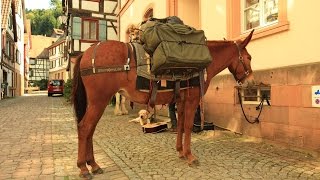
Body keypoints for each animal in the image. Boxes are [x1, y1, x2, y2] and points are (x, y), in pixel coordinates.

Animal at [72, 30, 255, 178]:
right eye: (249, 58)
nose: (251, 82)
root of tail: (87, 53)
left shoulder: (181, 101)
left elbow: (180, 125)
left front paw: (180, 152)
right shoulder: (192, 100)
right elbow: (187, 126)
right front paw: (190, 156)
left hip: (95, 103)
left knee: (90, 130)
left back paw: (93, 165)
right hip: (99, 101)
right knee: (85, 128)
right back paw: (84, 168)